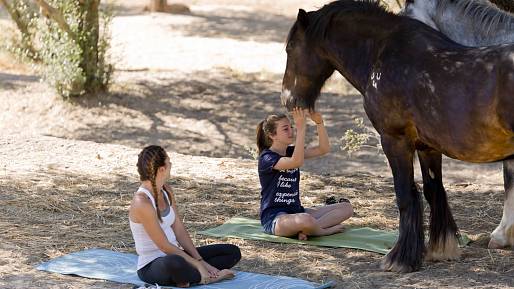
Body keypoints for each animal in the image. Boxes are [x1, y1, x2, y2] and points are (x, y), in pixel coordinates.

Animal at [280, 0, 512, 272]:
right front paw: (439, 249)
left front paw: (399, 259)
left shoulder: (394, 140)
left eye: (291, 47)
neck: (383, 55)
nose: (288, 99)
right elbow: (434, 191)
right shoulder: (427, 147)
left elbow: (405, 195)